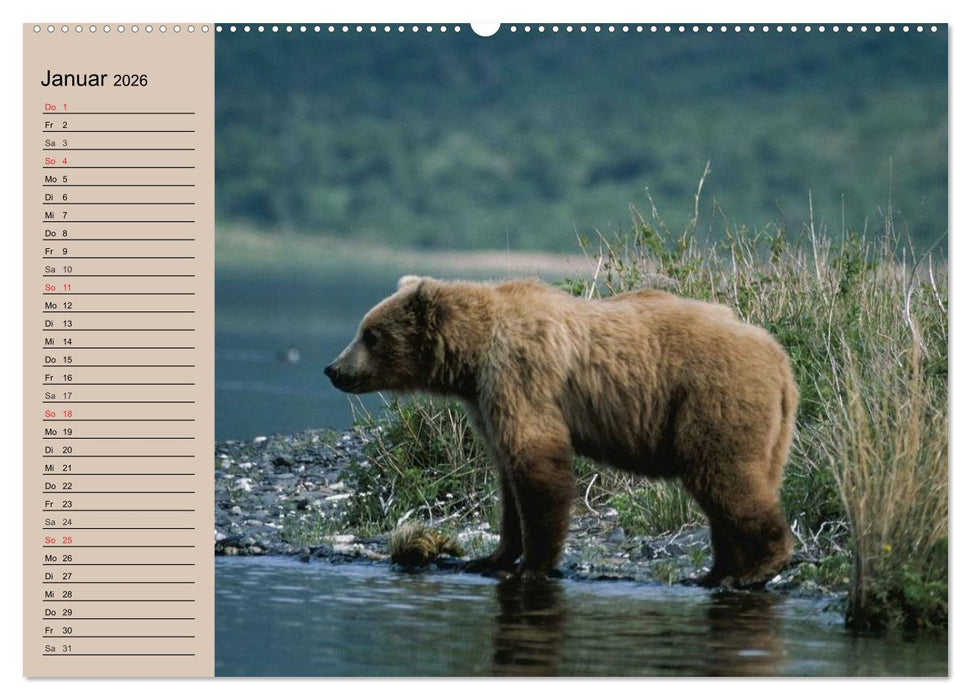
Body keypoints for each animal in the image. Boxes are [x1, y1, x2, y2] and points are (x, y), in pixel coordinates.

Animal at [325, 275, 797, 587]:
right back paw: (714, 573)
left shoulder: (519, 374)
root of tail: (780, 358)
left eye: (371, 334)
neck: (471, 359)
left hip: (712, 399)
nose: (333, 369)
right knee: (731, 487)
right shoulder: (484, 400)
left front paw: (532, 564)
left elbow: (536, 462)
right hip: (767, 428)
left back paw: (760, 565)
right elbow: (507, 479)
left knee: (724, 478)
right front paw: (492, 556)